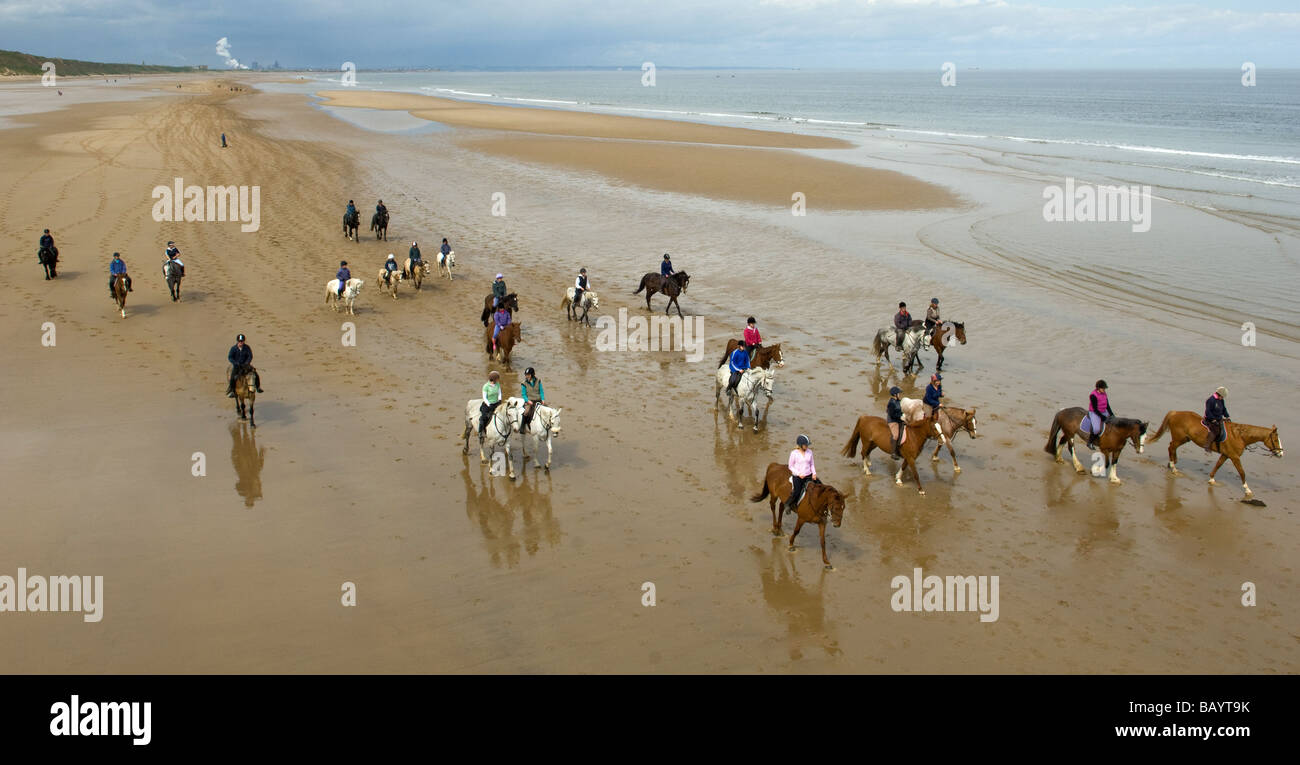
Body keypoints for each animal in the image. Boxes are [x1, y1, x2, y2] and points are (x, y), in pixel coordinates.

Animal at [1144, 411, 1284, 502]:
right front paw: (1247, 490)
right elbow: (1242, 472)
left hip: (1184, 439)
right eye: (1275, 440)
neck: (1239, 435)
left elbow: (1218, 465)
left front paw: (1211, 479)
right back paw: (1173, 467)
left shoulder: (1226, 455)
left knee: (1172, 448)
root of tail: (1174, 413)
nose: (1281, 453)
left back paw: (1172, 463)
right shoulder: (1234, 457)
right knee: (1171, 447)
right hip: (1180, 438)